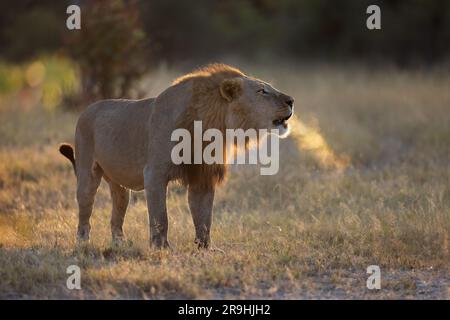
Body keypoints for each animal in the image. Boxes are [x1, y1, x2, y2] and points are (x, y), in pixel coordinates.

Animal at [59, 63, 294, 249]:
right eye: (262, 91)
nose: (291, 100)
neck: (213, 126)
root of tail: (88, 108)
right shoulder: (154, 173)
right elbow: (160, 216)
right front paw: (161, 247)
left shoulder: (203, 176)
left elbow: (204, 217)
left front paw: (205, 249)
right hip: (87, 172)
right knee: (85, 211)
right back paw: (83, 243)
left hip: (119, 186)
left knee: (116, 214)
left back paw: (120, 244)